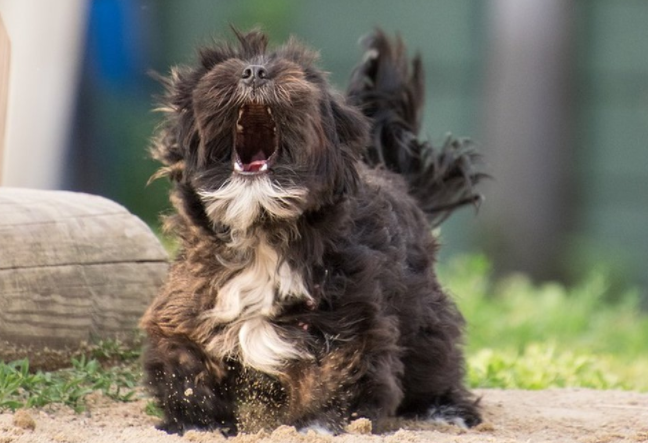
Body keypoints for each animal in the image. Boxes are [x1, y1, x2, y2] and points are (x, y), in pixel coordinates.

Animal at [143, 28, 486, 438]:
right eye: (219, 64)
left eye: (302, 73)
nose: (255, 71)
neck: (262, 232)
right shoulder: (190, 304)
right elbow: (185, 366)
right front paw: (195, 423)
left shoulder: (349, 319)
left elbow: (337, 373)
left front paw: (317, 424)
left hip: (422, 319)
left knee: (434, 362)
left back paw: (446, 410)